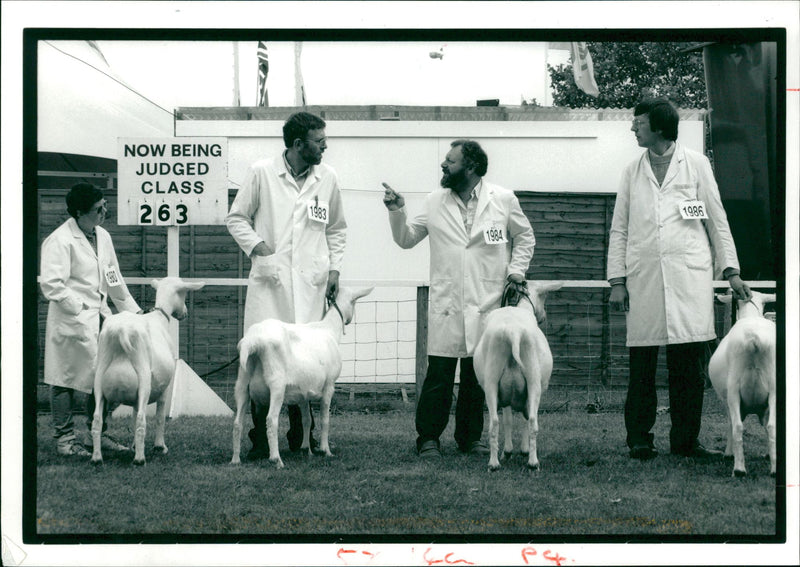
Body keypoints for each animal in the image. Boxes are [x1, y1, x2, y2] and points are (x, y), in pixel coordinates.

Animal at [91, 278, 205, 468]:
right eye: (183, 293)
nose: (185, 313)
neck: (159, 316)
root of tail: (122, 330)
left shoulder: (135, 398)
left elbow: (132, 416)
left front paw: (133, 446)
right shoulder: (165, 388)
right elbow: (159, 417)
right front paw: (159, 446)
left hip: (99, 382)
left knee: (97, 420)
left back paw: (97, 457)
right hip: (144, 381)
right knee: (141, 421)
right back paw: (139, 459)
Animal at [228, 286, 372, 468]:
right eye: (354, 303)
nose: (349, 320)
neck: (329, 330)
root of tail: (253, 342)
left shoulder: (303, 392)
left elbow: (306, 420)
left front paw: (306, 449)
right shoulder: (329, 385)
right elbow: (325, 419)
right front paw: (326, 450)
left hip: (242, 384)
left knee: (237, 423)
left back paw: (235, 459)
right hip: (277, 385)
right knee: (271, 420)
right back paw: (276, 459)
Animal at [476, 282, 564, 472]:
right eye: (543, 296)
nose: (543, 316)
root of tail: (513, 331)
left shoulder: (506, 393)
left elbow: (509, 420)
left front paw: (509, 451)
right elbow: (521, 418)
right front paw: (520, 450)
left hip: (492, 383)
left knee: (495, 423)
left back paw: (494, 463)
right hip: (533, 381)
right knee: (532, 421)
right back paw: (532, 462)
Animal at [712, 290, 776, 478]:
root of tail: (754, 338)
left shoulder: (727, 400)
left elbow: (730, 424)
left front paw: (728, 453)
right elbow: (767, 426)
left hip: (733, 389)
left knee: (738, 427)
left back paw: (739, 469)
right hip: (774, 389)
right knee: (772, 426)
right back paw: (774, 470)